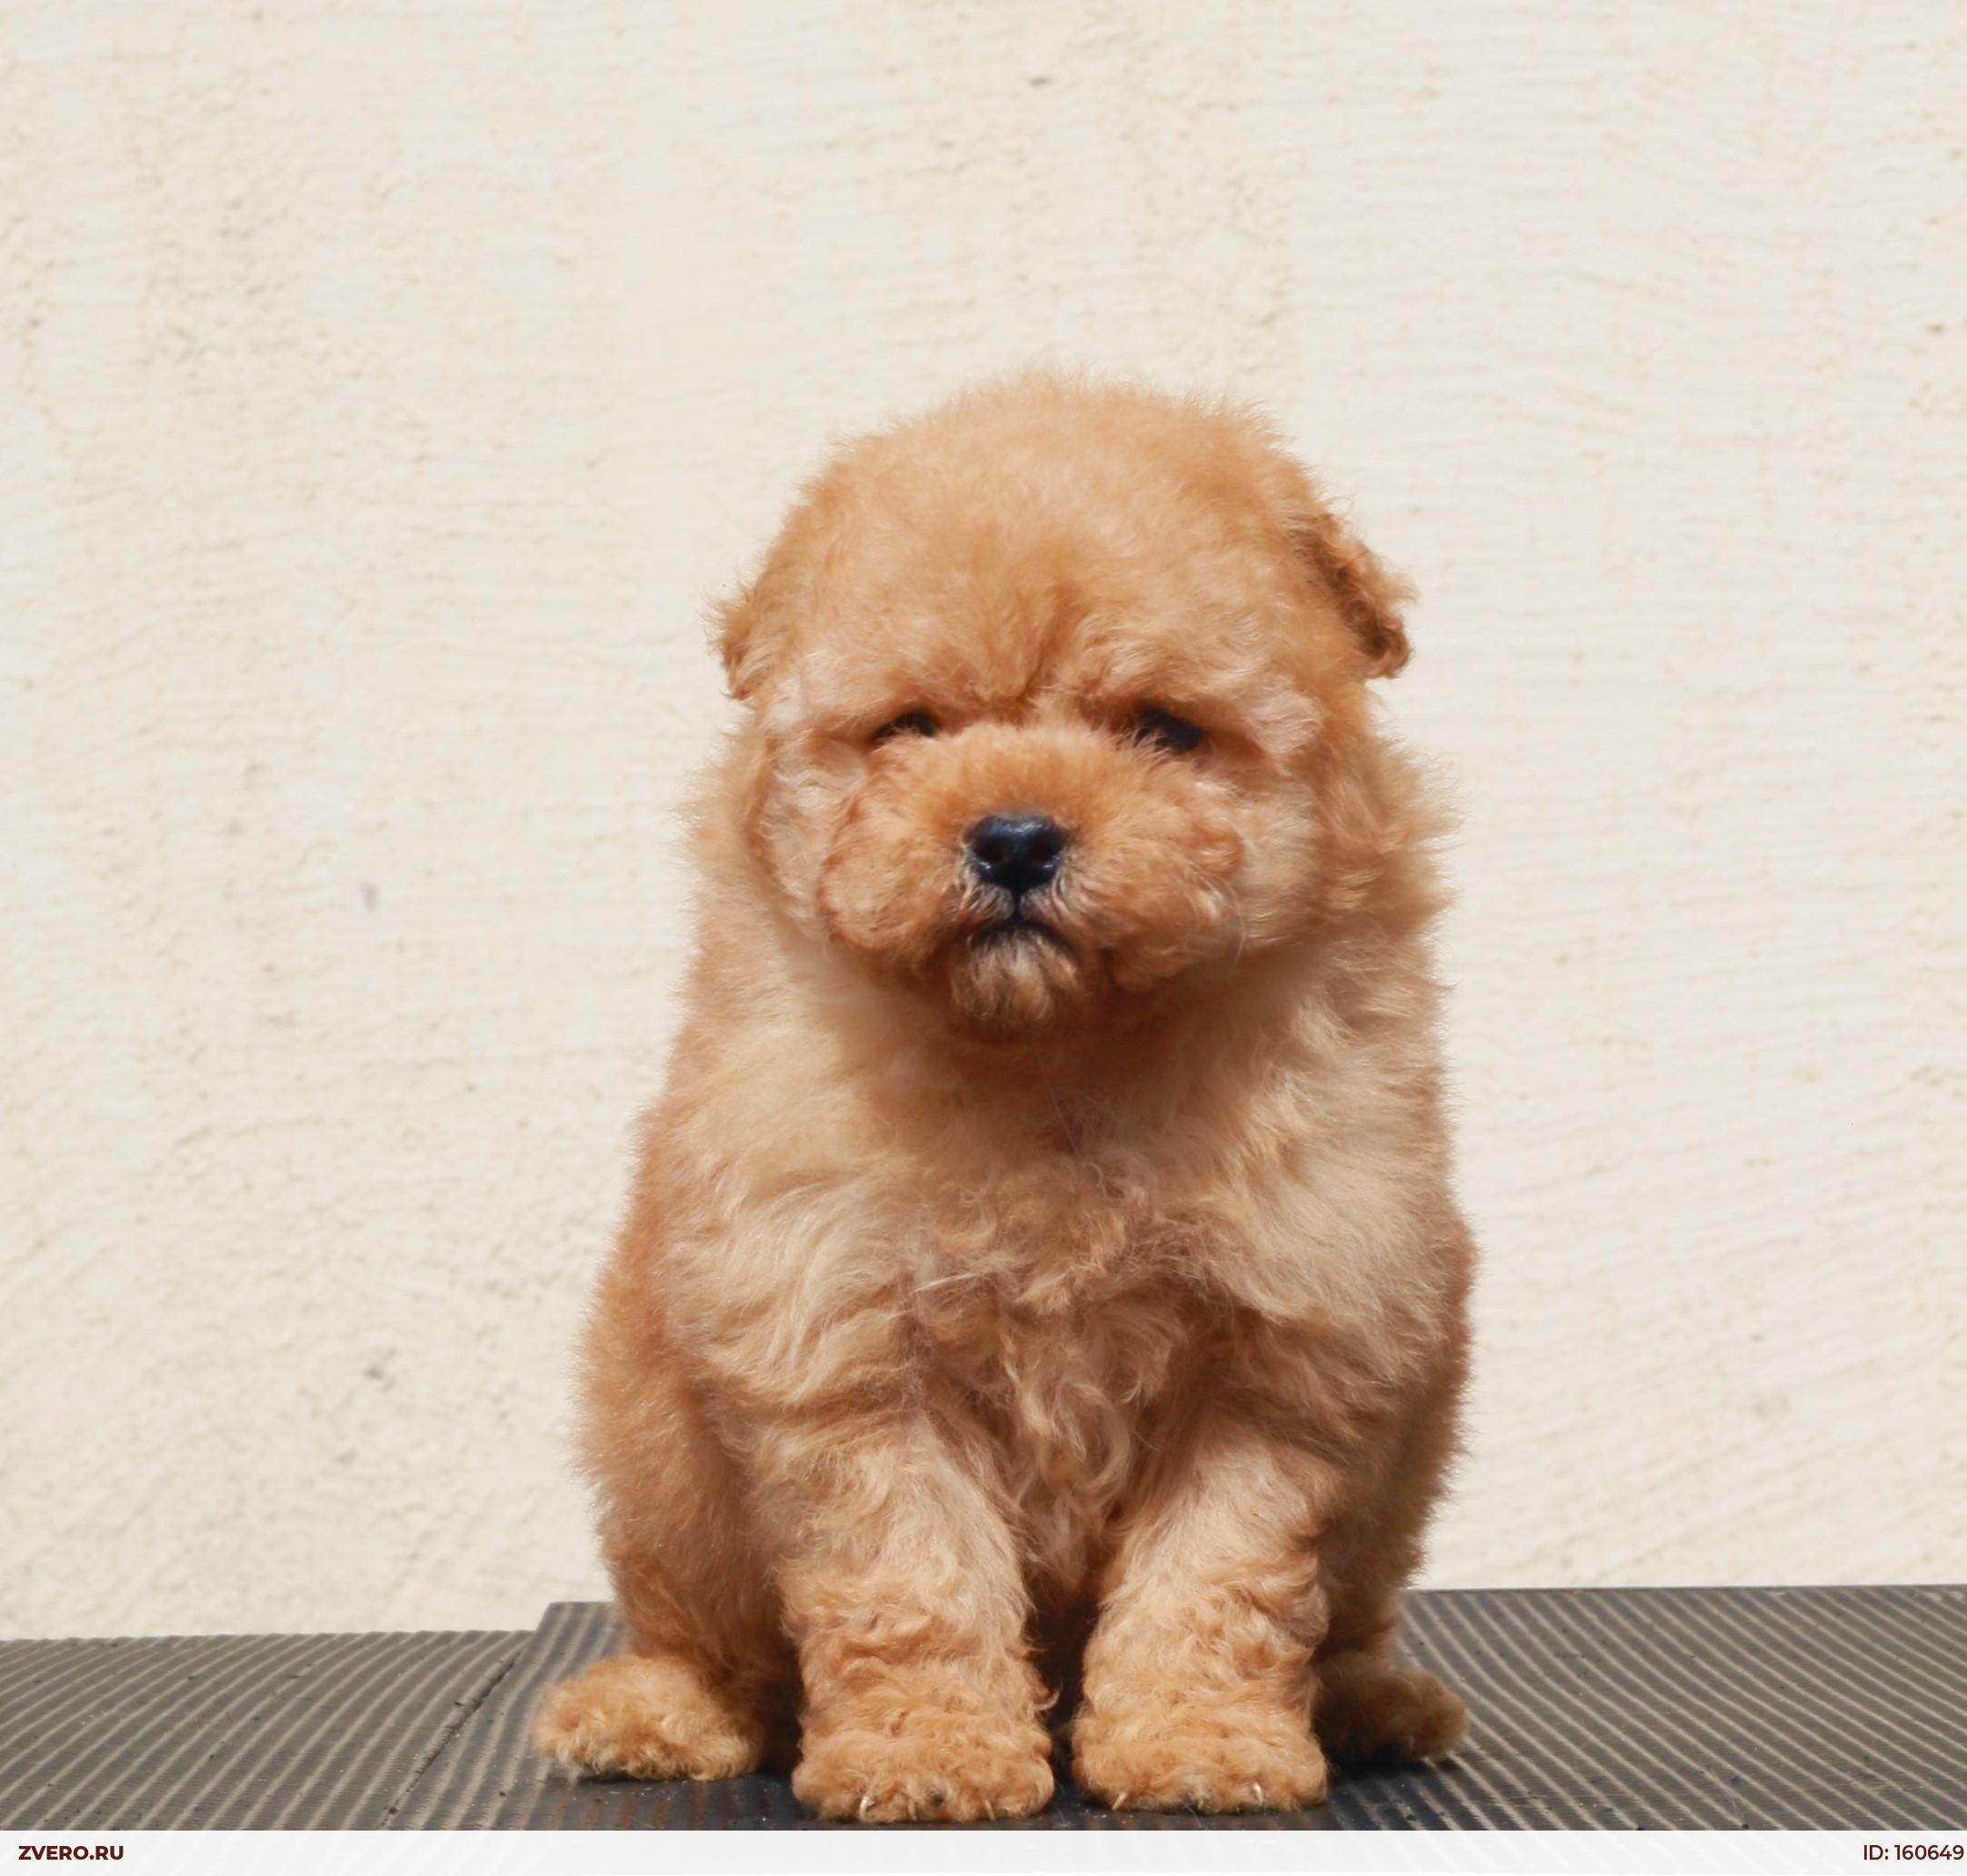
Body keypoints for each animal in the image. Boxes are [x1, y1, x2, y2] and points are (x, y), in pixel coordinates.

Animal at [531, 373, 1474, 1821]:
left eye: (1161, 729)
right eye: (914, 728)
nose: (1017, 837)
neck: (1054, 1053)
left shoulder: (1288, 1344)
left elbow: (1218, 1574)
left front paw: (1197, 1741)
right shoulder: (840, 1341)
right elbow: (907, 1573)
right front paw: (929, 1752)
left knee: (1352, 1616)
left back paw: (1376, 1703)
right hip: (658, 1467)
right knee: (705, 1633)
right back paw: (655, 1710)